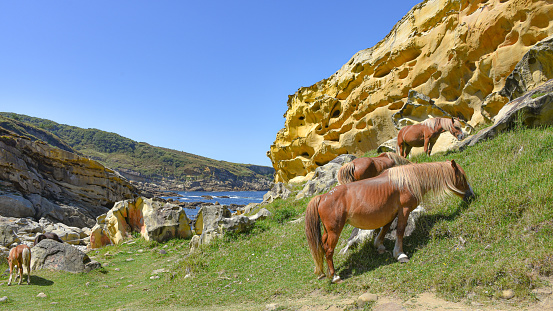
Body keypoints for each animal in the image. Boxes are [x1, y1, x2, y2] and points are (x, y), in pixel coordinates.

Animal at [304, 160, 472, 284]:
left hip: (328, 231)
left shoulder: (391, 214)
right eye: (462, 178)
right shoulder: (404, 210)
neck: (407, 181)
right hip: (335, 231)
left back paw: (323, 272)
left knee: (322, 245)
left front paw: (379, 246)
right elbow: (400, 230)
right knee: (328, 250)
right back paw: (335, 276)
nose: (471, 195)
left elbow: (385, 229)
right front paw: (400, 254)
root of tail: (322, 197)